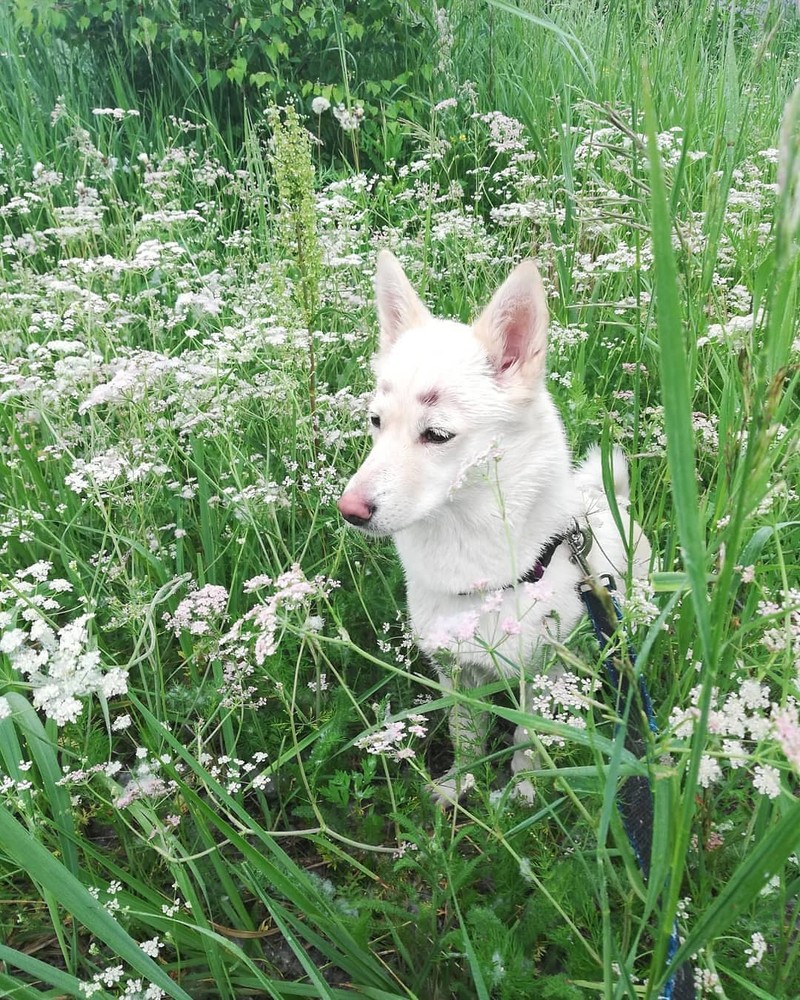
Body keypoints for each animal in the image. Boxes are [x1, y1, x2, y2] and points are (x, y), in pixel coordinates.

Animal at [338, 252, 648, 804]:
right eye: (375, 422)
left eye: (437, 435)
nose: (348, 509)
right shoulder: (456, 670)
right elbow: (466, 738)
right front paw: (461, 786)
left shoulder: (543, 675)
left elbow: (527, 741)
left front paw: (522, 794)